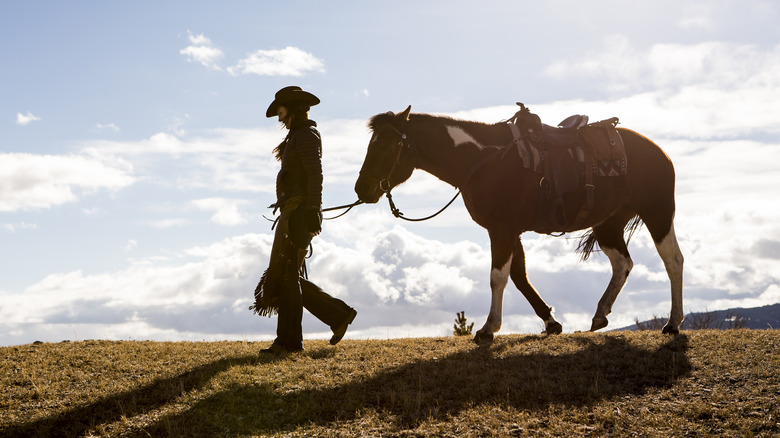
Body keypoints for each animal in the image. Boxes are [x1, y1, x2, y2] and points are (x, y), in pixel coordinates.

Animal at [354, 104, 684, 344]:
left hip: (658, 213)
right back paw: (600, 314)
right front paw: (551, 323)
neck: (485, 160)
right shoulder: (510, 231)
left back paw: (673, 322)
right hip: (608, 225)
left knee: (672, 260)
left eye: (387, 146)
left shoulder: (502, 230)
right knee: (623, 263)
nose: (361, 189)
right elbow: (519, 277)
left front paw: (488, 329)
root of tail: (659, 152)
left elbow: (498, 277)